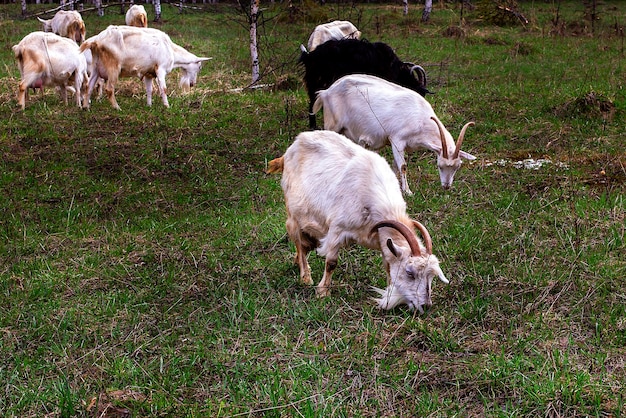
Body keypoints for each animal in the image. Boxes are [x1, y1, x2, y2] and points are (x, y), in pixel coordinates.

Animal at [79, 24, 211, 109]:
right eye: (199, 67)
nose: (192, 84)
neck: (170, 49)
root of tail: (96, 41)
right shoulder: (160, 69)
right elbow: (163, 89)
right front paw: (167, 106)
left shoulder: (148, 73)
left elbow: (149, 89)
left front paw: (149, 105)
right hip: (113, 68)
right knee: (109, 89)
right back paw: (117, 108)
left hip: (96, 67)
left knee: (89, 86)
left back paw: (86, 107)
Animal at [266, 130, 446, 310]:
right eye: (410, 273)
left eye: (431, 276)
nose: (426, 305)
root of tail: (290, 150)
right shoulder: (337, 229)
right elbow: (331, 262)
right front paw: (322, 292)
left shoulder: (381, 239)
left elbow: (388, 266)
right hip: (294, 214)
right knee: (299, 242)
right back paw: (305, 277)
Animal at [312, 73, 472, 194]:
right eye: (439, 166)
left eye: (457, 167)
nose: (446, 186)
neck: (421, 118)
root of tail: (326, 92)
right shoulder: (397, 140)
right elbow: (403, 167)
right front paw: (408, 191)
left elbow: (396, 167)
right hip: (332, 124)